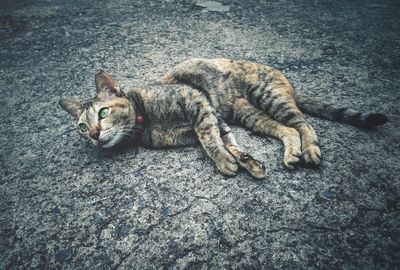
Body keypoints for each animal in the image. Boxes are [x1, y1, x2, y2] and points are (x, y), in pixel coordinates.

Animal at [59, 58, 388, 178]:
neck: (145, 120)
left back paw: (309, 149)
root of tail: (290, 84)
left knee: (303, 123)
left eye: (104, 112)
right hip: (250, 114)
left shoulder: (199, 106)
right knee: (287, 130)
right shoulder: (216, 119)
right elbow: (229, 142)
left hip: (269, 97)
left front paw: (226, 161)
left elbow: (211, 142)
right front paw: (246, 161)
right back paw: (293, 152)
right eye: (81, 127)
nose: (93, 134)